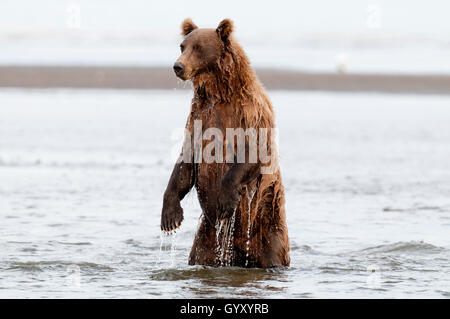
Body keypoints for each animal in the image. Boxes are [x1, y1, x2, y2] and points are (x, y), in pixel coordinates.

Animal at [160, 18, 290, 268]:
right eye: (182, 46)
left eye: (198, 47)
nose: (177, 66)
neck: (219, 94)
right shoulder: (198, 118)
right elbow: (185, 163)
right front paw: (170, 217)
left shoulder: (251, 113)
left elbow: (254, 151)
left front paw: (226, 200)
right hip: (207, 237)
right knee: (200, 254)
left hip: (267, 224)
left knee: (273, 253)